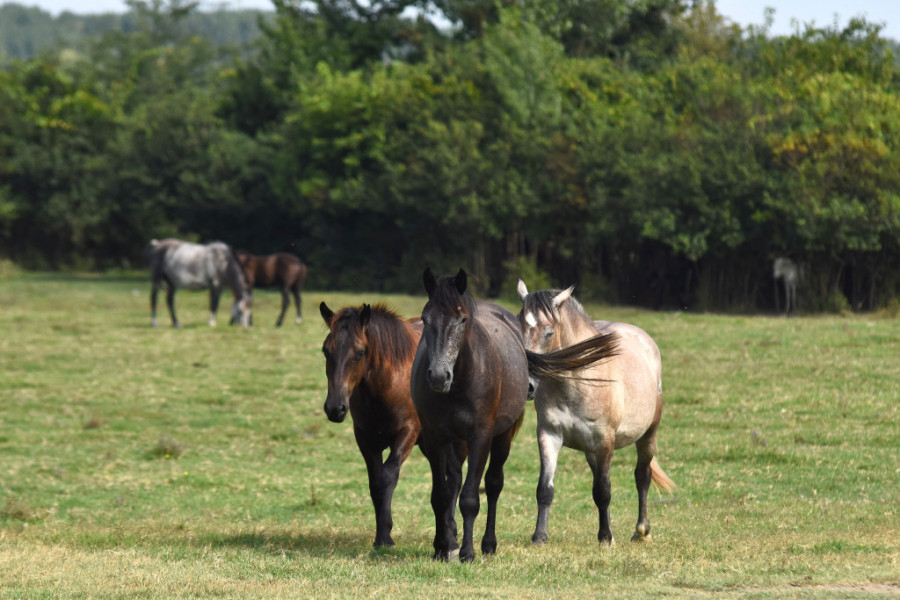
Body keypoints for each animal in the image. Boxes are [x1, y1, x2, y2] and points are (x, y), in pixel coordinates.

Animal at [320, 302, 464, 548]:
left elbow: (388, 477)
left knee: (455, 477)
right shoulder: (366, 439)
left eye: (360, 352)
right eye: (325, 350)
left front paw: (386, 537)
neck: (388, 383)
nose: (335, 408)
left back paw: (450, 531)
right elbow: (375, 482)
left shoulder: (407, 432)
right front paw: (381, 535)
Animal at [414, 270, 620, 560]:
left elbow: (470, 498)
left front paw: (467, 552)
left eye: (462, 319)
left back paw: (488, 544)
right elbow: (440, 496)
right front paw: (443, 547)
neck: (459, 383)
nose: (439, 376)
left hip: (502, 436)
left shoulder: (480, 437)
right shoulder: (434, 439)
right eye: (425, 318)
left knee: (492, 484)